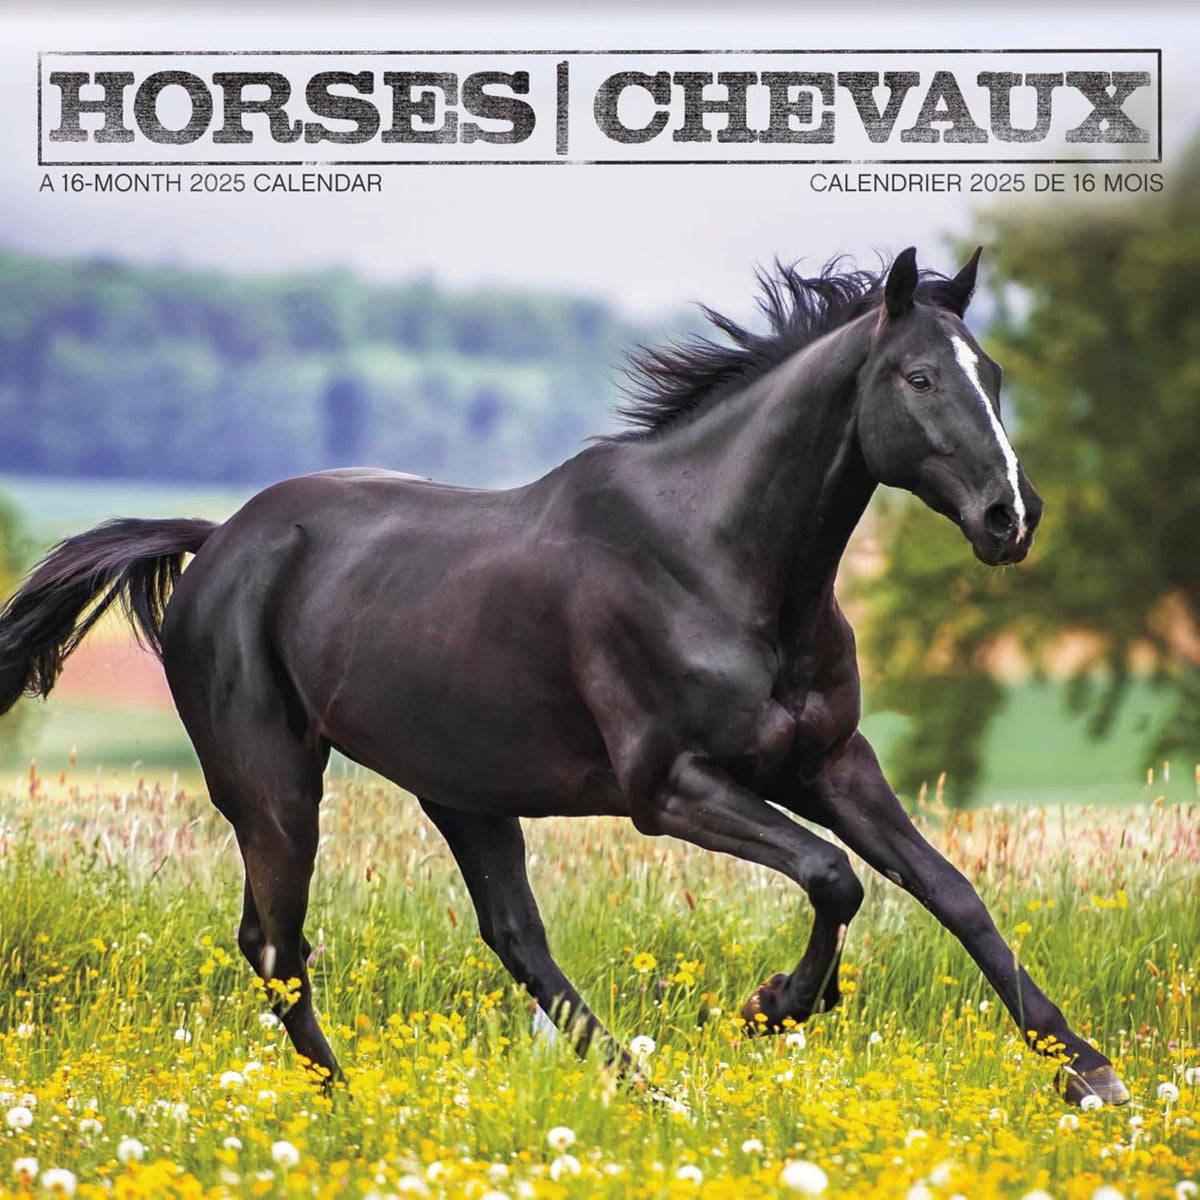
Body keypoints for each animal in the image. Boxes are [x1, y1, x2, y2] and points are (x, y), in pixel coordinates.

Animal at [0, 247, 1129, 1107]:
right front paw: (773, 1005)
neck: (718, 558)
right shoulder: (669, 788)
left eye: (993, 374)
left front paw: (1087, 1074)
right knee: (278, 947)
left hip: (462, 790)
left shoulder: (831, 765)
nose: (1011, 517)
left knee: (512, 938)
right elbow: (833, 876)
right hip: (275, 786)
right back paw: (348, 1104)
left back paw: (648, 1094)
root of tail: (218, 541)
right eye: (919, 379)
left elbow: (951, 891)